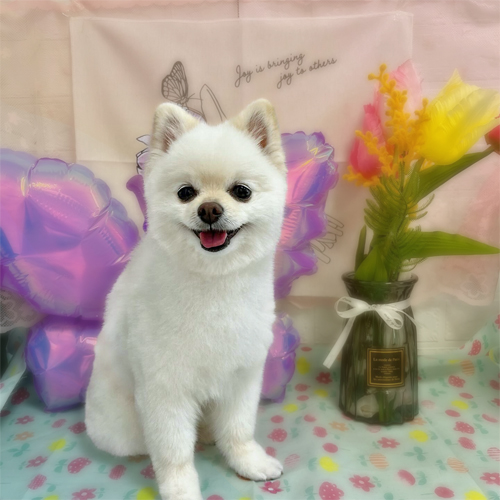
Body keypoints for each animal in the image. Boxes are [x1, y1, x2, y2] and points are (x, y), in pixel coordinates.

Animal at [85, 99, 288, 500]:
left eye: (242, 191)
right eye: (185, 193)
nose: (209, 209)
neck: (214, 284)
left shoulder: (241, 376)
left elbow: (239, 430)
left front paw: (249, 462)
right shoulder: (165, 389)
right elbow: (173, 450)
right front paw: (180, 488)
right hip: (121, 428)